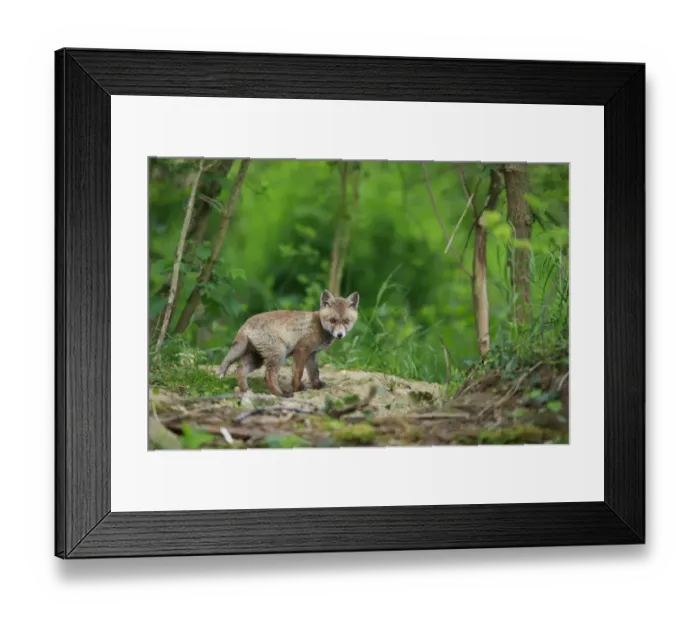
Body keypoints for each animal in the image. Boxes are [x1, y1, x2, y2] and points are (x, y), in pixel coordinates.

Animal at [218, 289, 360, 398]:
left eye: (346, 321)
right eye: (333, 320)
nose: (340, 335)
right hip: (279, 354)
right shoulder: (302, 349)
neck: (319, 325)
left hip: (256, 359)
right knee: (268, 376)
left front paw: (317, 386)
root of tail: (245, 324)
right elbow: (298, 372)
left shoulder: (312, 353)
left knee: (240, 369)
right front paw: (297, 388)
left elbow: (314, 372)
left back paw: (245, 390)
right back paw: (280, 394)